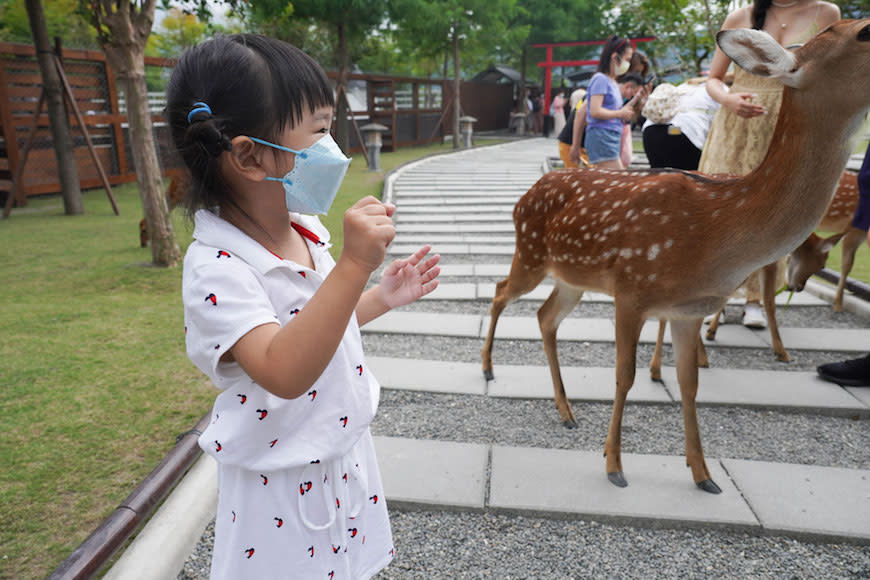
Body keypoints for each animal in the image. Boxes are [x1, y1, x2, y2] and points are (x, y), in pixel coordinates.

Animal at [480, 21, 870, 494]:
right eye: (865, 33)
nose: (798, 283)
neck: (715, 235)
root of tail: (524, 197)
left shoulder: (688, 309)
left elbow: (689, 384)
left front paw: (704, 475)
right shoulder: (631, 290)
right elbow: (624, 375)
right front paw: (614, 466)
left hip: (572, 278)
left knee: (545, 316)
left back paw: (567, 410)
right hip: (532, 254)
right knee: (501, 290)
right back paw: (488, 369)